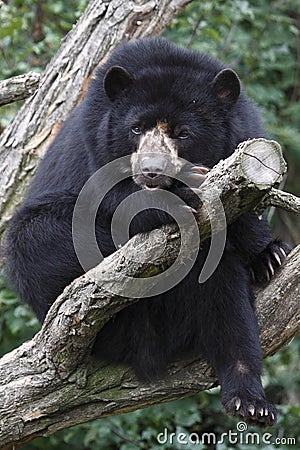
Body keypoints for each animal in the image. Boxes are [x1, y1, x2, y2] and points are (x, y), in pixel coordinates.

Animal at [5, 37, 290, 426]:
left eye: (183, 133)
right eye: (136, 129)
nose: (152, 171)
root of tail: (150, 353)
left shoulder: (246, 135)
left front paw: (269, 255)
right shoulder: (93, 144)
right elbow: (97, 203)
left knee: (225, 295)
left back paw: (249, 400)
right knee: (31, 238)